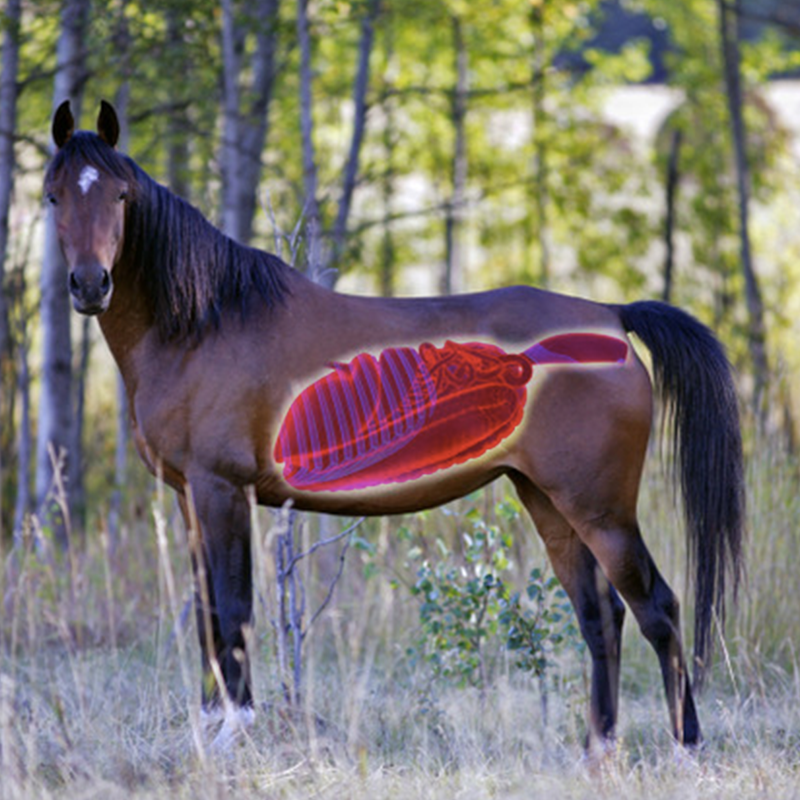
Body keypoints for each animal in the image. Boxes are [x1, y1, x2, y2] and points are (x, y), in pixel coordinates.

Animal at [45, 100, 744, 753]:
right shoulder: (190, 497)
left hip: (601, 509)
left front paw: (233, 731)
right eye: (54, 195)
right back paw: (598, 747)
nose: (90, 284)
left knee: (657, 608)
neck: (204, 322)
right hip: (549, 501)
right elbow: (207, 612)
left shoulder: (222, 490)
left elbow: (235, 609)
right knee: (601, 616)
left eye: (121, 195)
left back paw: (685, 746)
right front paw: (211, 722)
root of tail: (610, 316)